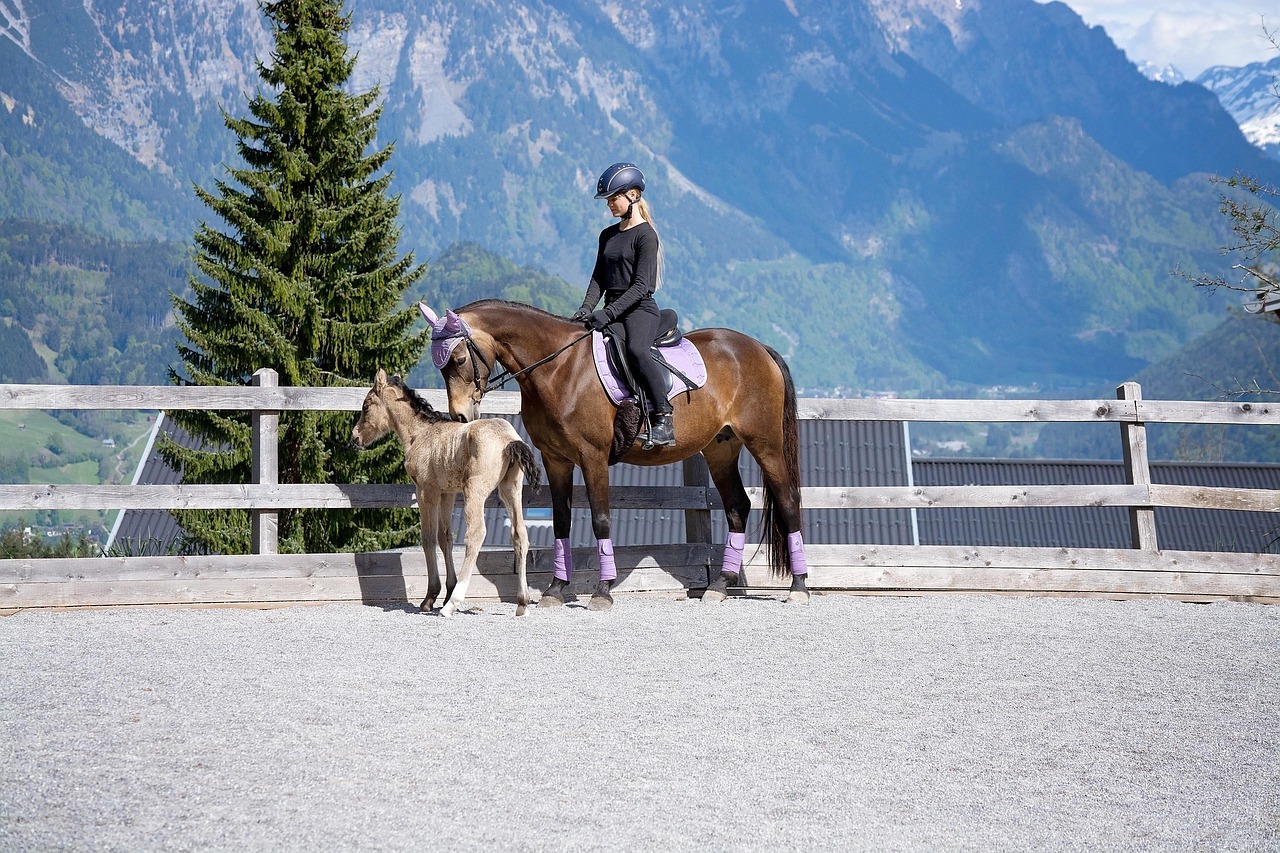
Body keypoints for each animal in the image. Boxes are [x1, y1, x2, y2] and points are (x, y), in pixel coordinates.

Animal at [350, 368, 543, 616]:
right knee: (520, 534)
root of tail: (509, 440)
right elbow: (446, 538)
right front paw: (447, 590)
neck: (421, 433)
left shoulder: (426, 490)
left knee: (476, 534)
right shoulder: (447, 492)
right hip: (511, 488)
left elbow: (428, 538)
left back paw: (452, 604)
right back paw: (522, 602)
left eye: (366, 406)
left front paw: (431, 597)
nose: (355, 437)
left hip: (475, 490)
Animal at [419, 299, 809, 610]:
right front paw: (555, 589)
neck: (560, 368)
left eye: (458, 359)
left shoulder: (592, 457)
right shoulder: (556, 460)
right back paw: (721, 585)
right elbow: (562, 521)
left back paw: (799, 587)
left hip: (765, 443)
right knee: (737, 507)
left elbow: (601, 520)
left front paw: (602, 591)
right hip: (720, 448)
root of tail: (758, 347)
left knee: (788, 500)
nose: (460, 417)